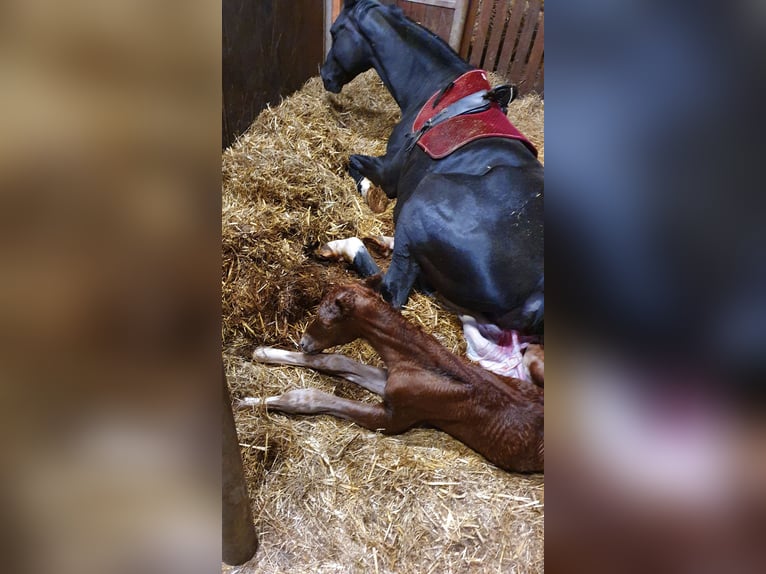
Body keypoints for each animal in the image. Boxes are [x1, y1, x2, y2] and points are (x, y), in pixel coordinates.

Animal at [240, 280, 544, 473]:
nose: (303, 343)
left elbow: (311, 397)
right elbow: (336, 359)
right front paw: (263, 352)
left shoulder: (394, 418)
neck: (424, 363)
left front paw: (249, 402)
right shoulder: (391, 383)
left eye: (324, 321)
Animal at [317, 0, 544, 378]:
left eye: (336, 32)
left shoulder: (388, 172)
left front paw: (368, 193)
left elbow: (354, 163)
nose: (325, 76)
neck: (435, 92)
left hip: (419, 205)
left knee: (390, 291)